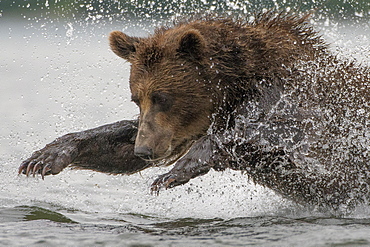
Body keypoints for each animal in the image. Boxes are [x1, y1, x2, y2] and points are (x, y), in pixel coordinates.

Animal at [19, 11, 370, 212]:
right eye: (136, 98)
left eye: (163, 96)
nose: (145, 150)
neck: (236, 88)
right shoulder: (178, 129)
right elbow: (120, 144)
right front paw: (45, 156)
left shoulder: (303, 106)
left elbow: (287, 145)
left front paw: (175, 172)